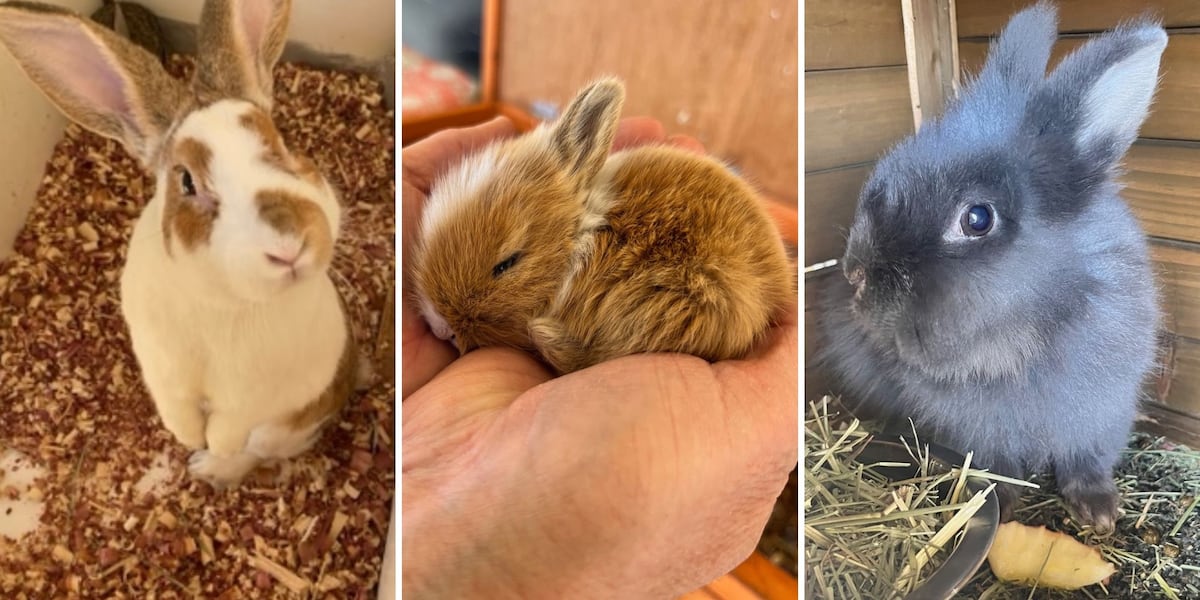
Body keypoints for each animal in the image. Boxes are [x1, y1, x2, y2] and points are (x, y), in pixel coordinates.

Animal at [0, 0, 365, 488]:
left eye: (282, 145)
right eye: (187, 181)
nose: (288, 246)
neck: (221, 300)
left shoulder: (250, 393)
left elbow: (230, 427)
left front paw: (208, 449)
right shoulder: (158, 362)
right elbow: (176, 407)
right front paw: (187, 438)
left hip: (284, 424)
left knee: (257, 450)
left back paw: (209, 468)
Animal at [813, 1, 1166, 534]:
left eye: (977, 219)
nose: (854, 275)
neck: (1023, 339)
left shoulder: (1101, 412)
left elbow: (1086, 462)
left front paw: (1100, 513)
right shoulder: (978, 431)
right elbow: (995, 466)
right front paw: (1003, 503)